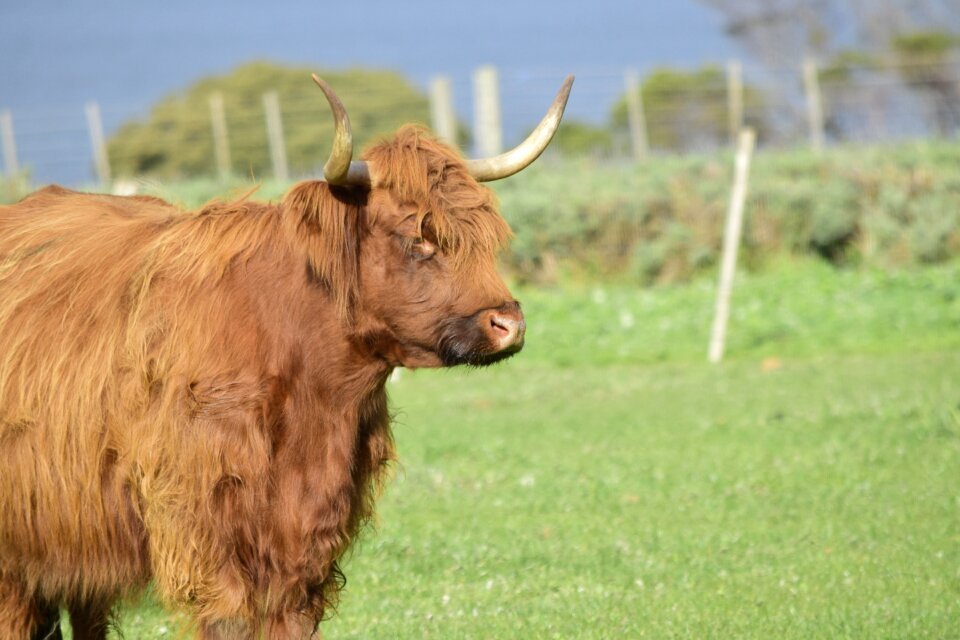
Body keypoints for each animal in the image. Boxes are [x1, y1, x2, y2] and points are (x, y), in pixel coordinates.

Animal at [0, 76, 568, 640]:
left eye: (486, 237)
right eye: (417, 238)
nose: (509, 324)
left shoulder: (312, 526)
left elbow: (291, 616)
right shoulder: (203, 517)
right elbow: (228, 616)